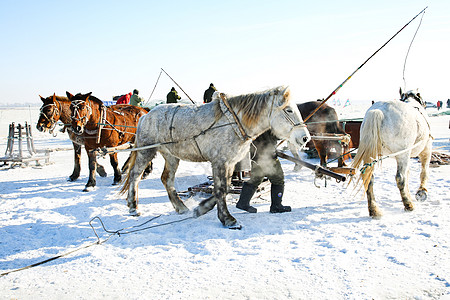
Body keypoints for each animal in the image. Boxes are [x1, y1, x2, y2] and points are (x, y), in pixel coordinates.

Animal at [121, 86, 312, 227]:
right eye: (288, 110)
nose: (305, 138)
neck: (233, 122)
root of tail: (145, 116)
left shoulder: (229, 162)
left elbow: (225, 187)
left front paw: (203, 208)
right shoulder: (219, 162)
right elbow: (221, 189)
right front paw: (228, 219)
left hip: (171, 156)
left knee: (166, 179)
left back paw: (181, 207)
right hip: (146, 151)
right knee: (135, 176)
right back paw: (133, 207)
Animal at [352, 89, 432, 218]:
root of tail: (379, 110)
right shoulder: (426, 149)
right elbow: (424, 172)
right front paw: (421, 191)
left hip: (373, 153)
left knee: (369, 177)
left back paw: (374, 210)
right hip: (403, 154)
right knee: (400, 178)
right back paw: (408, 205)